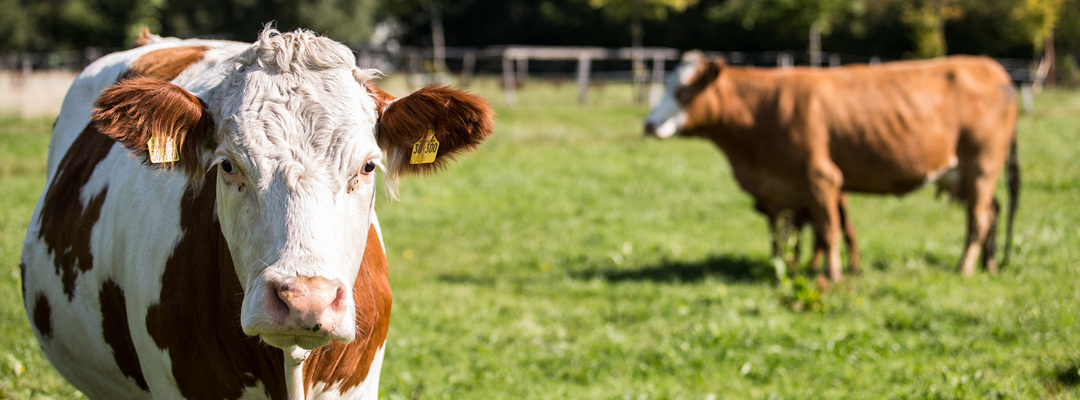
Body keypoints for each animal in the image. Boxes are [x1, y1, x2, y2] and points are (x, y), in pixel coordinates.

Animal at [643, 51, 1015, 281]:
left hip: (982, 166)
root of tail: (990, 67)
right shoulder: (784, 191)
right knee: (991, 212)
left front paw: (833, 275)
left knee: (979, 219)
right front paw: (788, 268)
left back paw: (964, 268)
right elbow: (787, 237)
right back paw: (989, 264)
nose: (649, 125)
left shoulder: (821, 179)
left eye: (684, 90)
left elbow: (829, 230)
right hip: (966, 176)